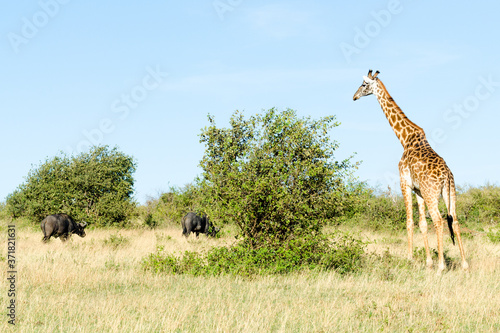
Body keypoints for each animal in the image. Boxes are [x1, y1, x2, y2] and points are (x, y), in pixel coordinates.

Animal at [354, 68, 466, 272]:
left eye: (364, 84)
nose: (354, 96)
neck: (405, 138)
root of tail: (446, 175)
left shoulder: (404, 183)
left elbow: (409, 221)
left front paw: (409, 258)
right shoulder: (418, 190)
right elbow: (422, 223)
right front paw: (428, 262)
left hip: (432, 194)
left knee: (438, 220)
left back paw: (441, 267)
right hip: (451, 192)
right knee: (454, 220)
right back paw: (464, 264)